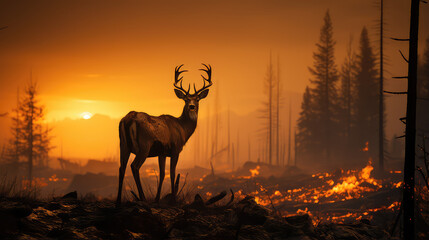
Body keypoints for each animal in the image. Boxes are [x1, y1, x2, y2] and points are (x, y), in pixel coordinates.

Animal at [116, 63, 211, 204]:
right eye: (186, 99)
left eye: (198, 99)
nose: (192, 107)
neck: (182, 128)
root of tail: (128, 119)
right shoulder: (176, 149)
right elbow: (171, 173)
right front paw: (173, 199)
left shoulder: (162, 153)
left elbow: (161, 174)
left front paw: (157, 198)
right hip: (144, 146)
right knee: (134, 166)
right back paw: (142, 198)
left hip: (123, 145)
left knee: (121, 168)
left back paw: (118, 201)